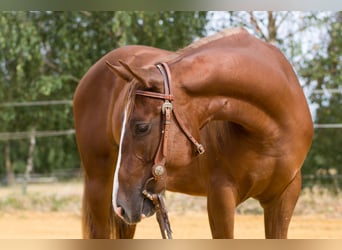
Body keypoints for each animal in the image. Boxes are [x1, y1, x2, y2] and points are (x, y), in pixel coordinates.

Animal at [73, 27, 314, 238]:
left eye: (141, 127)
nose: (120, 204)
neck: (269, 133)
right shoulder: (220, 197)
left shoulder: (284, 197)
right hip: (99, 184)